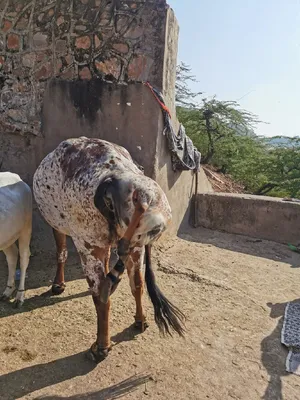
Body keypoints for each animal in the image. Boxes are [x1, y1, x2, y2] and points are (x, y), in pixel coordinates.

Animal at [32, 137, 183, 362]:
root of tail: (144, 196)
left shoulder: (63, 228)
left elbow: (61, 253)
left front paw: (58, 285)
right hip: (136, 247)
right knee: (136, 284)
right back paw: (140, 320)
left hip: (88, 244)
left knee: (101, 296)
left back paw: (101, 347)